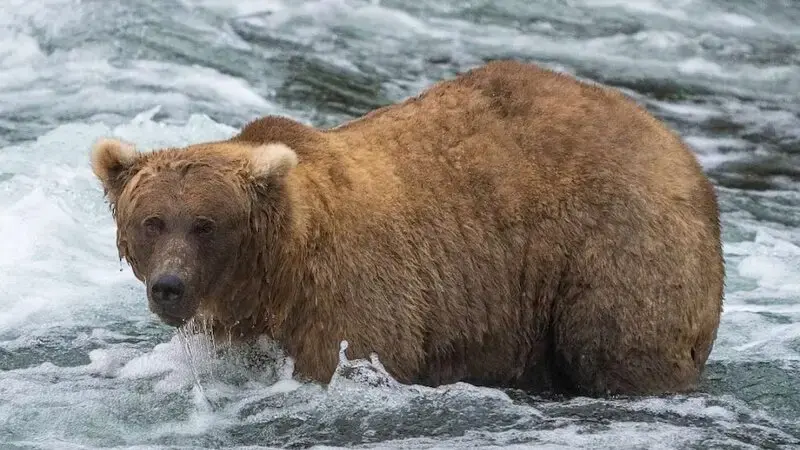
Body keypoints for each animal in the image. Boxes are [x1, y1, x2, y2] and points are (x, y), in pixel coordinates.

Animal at [89, 59, 724, 398]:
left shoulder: (352, 296)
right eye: (152, 222)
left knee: (617, 345)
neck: (275, 273)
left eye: (205, 224)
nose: (169, 287)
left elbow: (353, 356)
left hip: (615, 245)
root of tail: (679, 148)